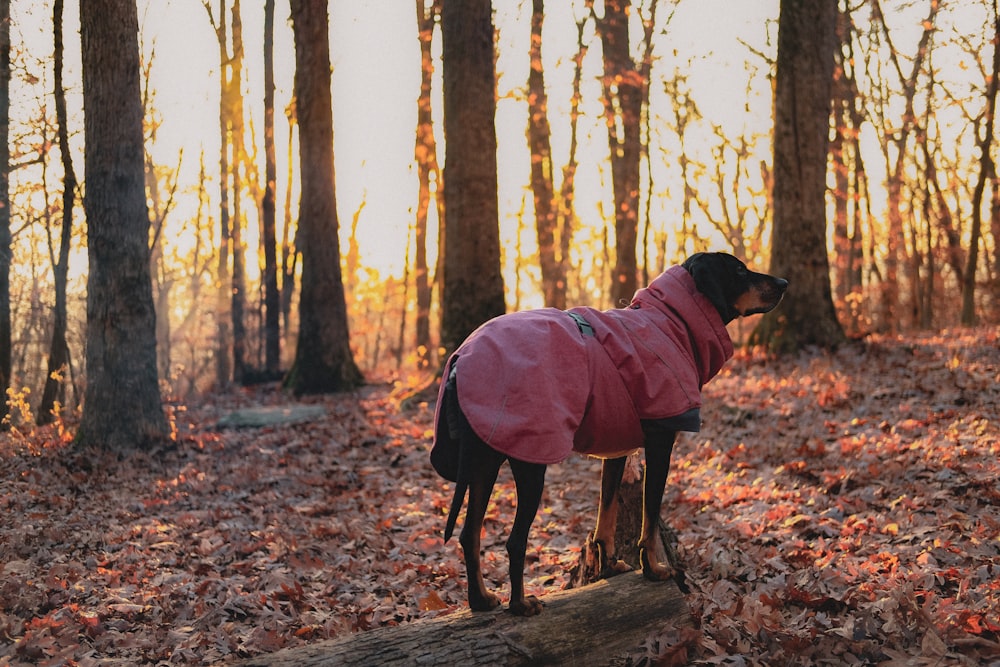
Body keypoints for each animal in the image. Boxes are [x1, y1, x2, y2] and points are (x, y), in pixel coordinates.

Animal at [430, 252, 788, 616]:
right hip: (530, 458)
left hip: (483, 458)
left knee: (469, 533)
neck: (671, 322)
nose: (784, 283)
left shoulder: (617, 449)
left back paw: (480, 599)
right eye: (740, 270)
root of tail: (461, 360)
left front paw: (610, 565)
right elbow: (650, 518)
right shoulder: (661, 443)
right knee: (515, 540)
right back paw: (519, 604)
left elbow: (606, 516)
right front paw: (653, 568)